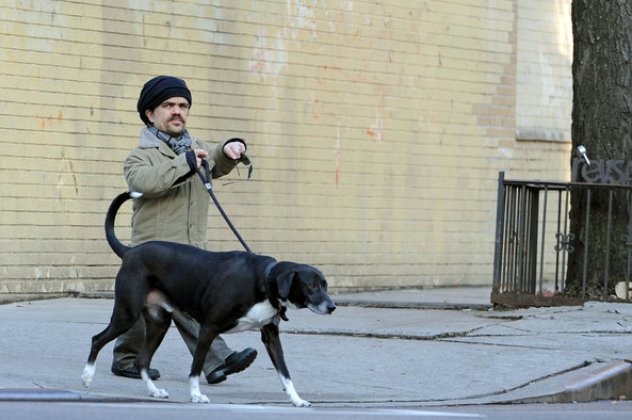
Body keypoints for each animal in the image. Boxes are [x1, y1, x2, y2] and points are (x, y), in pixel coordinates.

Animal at [82, 192, 336, 406]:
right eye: (311, 285)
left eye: (325, 285)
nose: (332, 306)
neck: (264, 281)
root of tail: (130, 252)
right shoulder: (208, 328)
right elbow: (195, 366)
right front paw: (196, 395)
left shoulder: (271, 337)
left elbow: (285, 373)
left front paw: (297, 400)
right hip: (127, 313)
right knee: (97, 339)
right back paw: (86, 377)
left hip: (159, 322)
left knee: (141, 361)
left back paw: (154, 391)